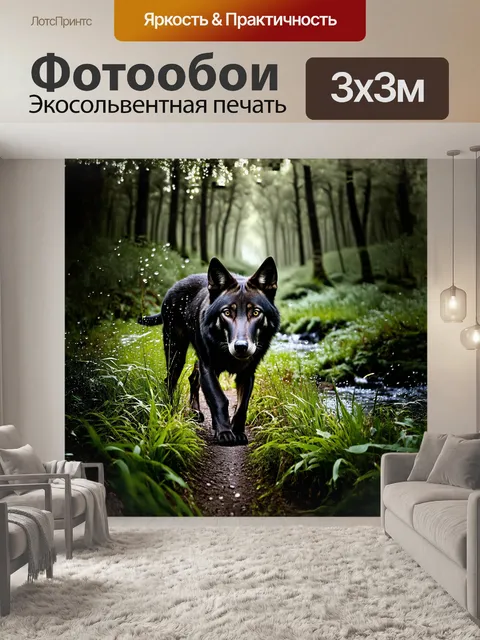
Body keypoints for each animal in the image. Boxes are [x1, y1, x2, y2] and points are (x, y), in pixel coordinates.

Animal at [138, 257, 280, 446]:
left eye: (256, 312)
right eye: (227, 312)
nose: (241, 346)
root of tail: (173, 288)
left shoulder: (247, 373)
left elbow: (242, 406)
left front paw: (237, 432)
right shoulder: (209, 367)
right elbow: (219, 399)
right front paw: (225, 433)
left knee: (192, 378)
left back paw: (196, 413)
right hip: (176, 353)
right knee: (170, 380)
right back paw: (171, 411)